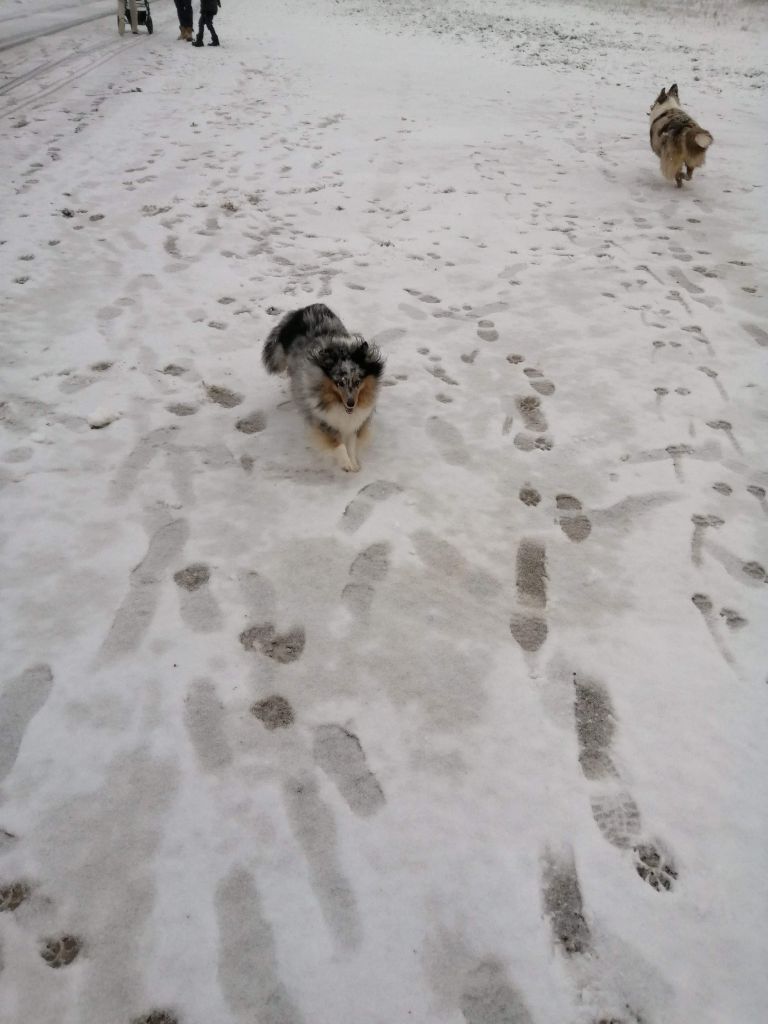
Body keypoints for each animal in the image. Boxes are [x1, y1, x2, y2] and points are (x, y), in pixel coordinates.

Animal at [264, 303, 385, 471]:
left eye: (358, 381)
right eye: (339, 382)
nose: (351, 403)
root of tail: (305, 308)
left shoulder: (355, 422)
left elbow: (352, 443)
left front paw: (354, 463)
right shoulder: (323, 419)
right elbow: (337, 442)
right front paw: (346, 464)